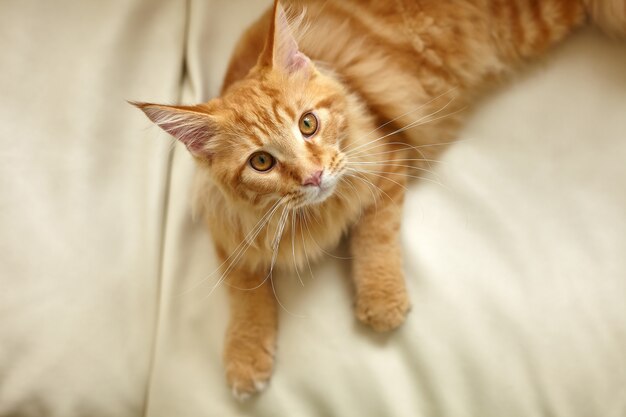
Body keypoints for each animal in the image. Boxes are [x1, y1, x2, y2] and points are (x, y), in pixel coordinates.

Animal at [130, 0, 620, 398]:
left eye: (308, 124)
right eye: (262, 162)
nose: (313, 176)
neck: (312, 214)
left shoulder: (386, 161)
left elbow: (374, 237)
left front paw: (382, 300)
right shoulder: (229, 229)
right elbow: (245, 292)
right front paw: (245, 355)